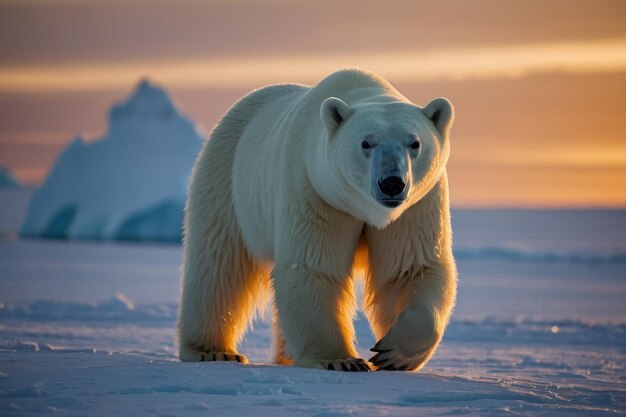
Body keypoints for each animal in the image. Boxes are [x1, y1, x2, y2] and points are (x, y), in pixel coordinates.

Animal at [178, 68, 456, 370]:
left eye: (415, 143)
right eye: (366, 143)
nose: (392, 183)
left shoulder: (416, 205)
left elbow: (411, 268)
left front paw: (393, 353)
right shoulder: (315, 189)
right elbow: (313, 267)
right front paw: (342, 360)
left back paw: (285, 356)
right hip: (227, 178)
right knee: (219, 265)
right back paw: (213, 351)